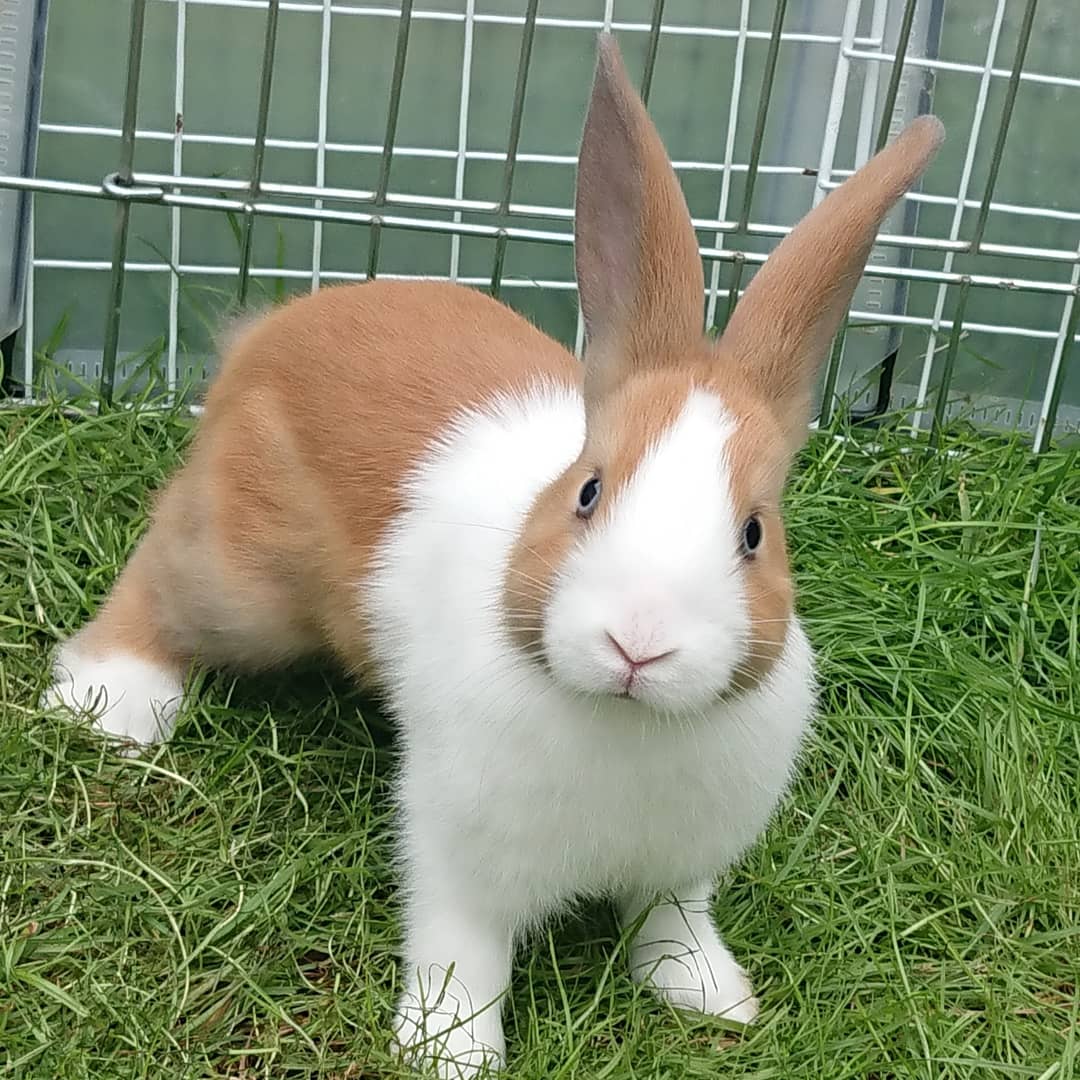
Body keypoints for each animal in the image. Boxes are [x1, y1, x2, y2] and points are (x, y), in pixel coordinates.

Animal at [44, 34, 943, 1079]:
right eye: (588, 491)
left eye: (754, 534)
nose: (639, 644)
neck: (622, 722)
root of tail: (270, 334)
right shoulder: (456, 851)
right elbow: (461, 951)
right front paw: (448, 1051)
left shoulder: (682, 867)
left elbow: (671, 929)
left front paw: (715, 1000)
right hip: (242, 581)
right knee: (159, 578)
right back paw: (111, 704)